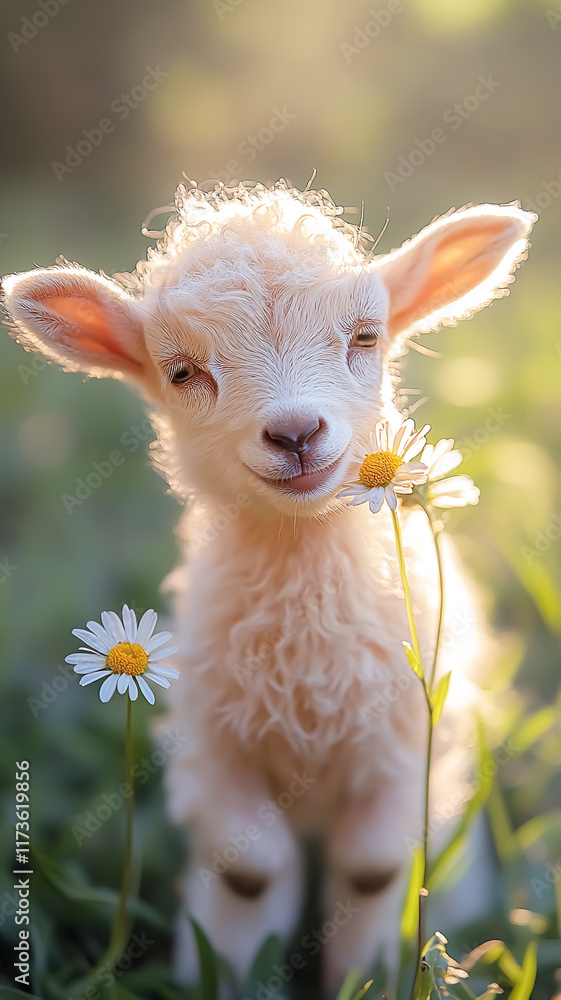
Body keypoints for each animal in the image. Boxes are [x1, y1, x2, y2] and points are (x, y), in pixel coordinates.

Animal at [3, 180, 535, 988]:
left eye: (365, 338)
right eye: (181, 371)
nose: (294, 433)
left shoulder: (411, 735)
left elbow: (376, 866)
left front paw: (362, 973)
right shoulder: (208, 744)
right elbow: (250, 868)